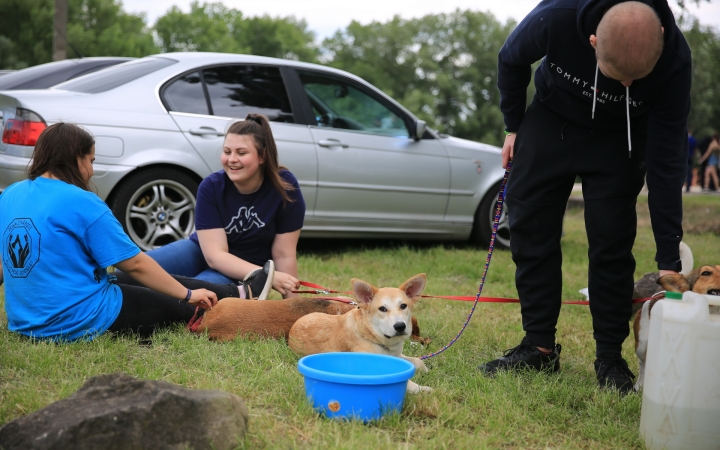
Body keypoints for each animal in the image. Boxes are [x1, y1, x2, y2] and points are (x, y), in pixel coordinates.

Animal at [286, 272, 434, 392]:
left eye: (403, 306)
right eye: (382, 309)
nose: (400, 326)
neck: (371, 334)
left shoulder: (396, 355)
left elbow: (418, 361)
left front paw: (425, 369)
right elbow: (408, 382)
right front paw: (422, 388)